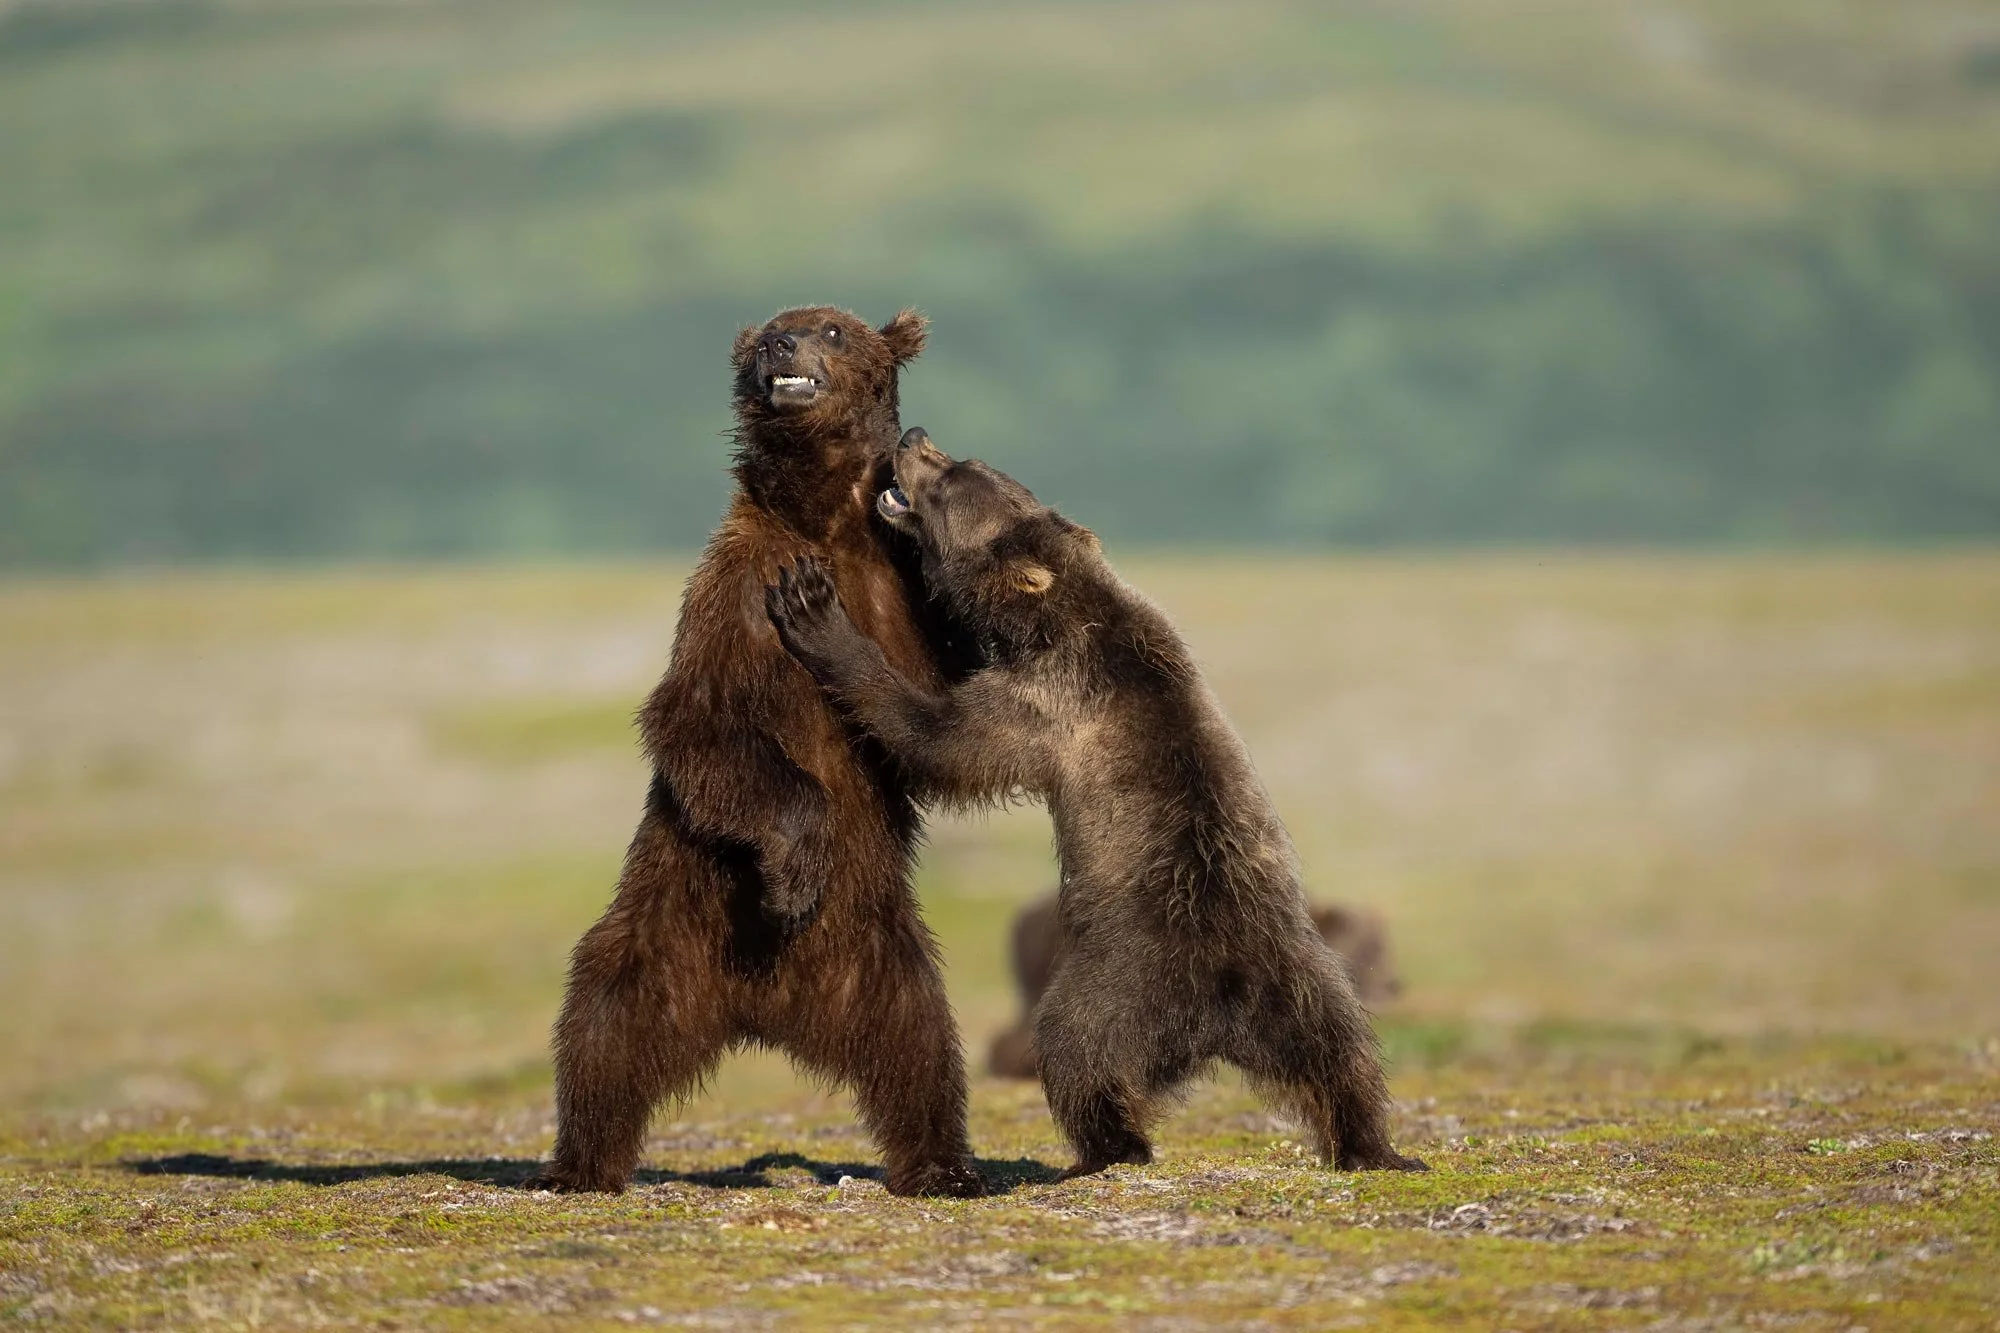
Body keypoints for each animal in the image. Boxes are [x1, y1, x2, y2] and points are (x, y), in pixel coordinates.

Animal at [535, 309, 985, 1198]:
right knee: (603, 1024)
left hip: (878, 950)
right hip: (668, 928)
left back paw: (943, 1163)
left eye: (833, 329)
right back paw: (582, 1161)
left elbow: (931, 731)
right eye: (767, 334)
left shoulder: (897, 600)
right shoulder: (734, 593)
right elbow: (699, 720)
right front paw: (795, 864)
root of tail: (762, 1010)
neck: (822, 521)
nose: (779, 346)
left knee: (919, 1044)